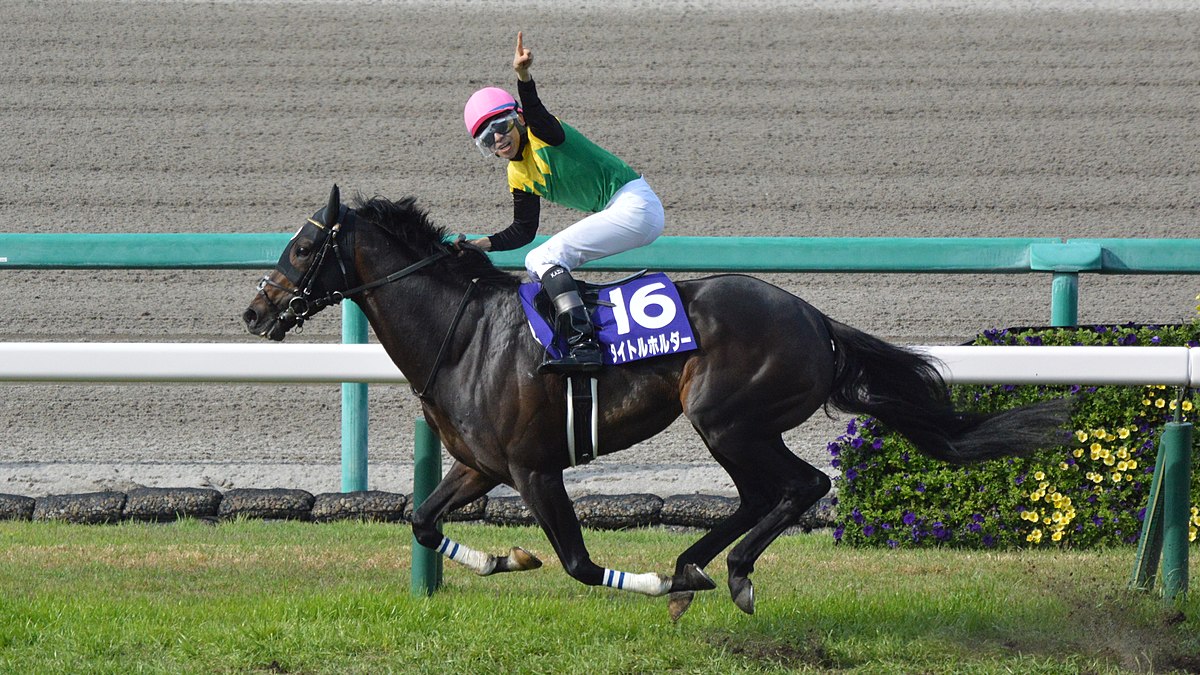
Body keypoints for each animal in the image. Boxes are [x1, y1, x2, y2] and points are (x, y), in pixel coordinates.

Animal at [238, 183, 1065, 614]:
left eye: (305, 246)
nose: (254, 312)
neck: (464, 333)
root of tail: (815, 319)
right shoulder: (479, 464)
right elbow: (419, 519)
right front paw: (505, 557)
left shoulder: (535, 469)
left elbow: (578, 562)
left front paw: (640, 579)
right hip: (734, 426)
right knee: (761, 494)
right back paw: (700, 564)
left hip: (727, 418)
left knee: (802, 484)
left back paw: (722, 572)